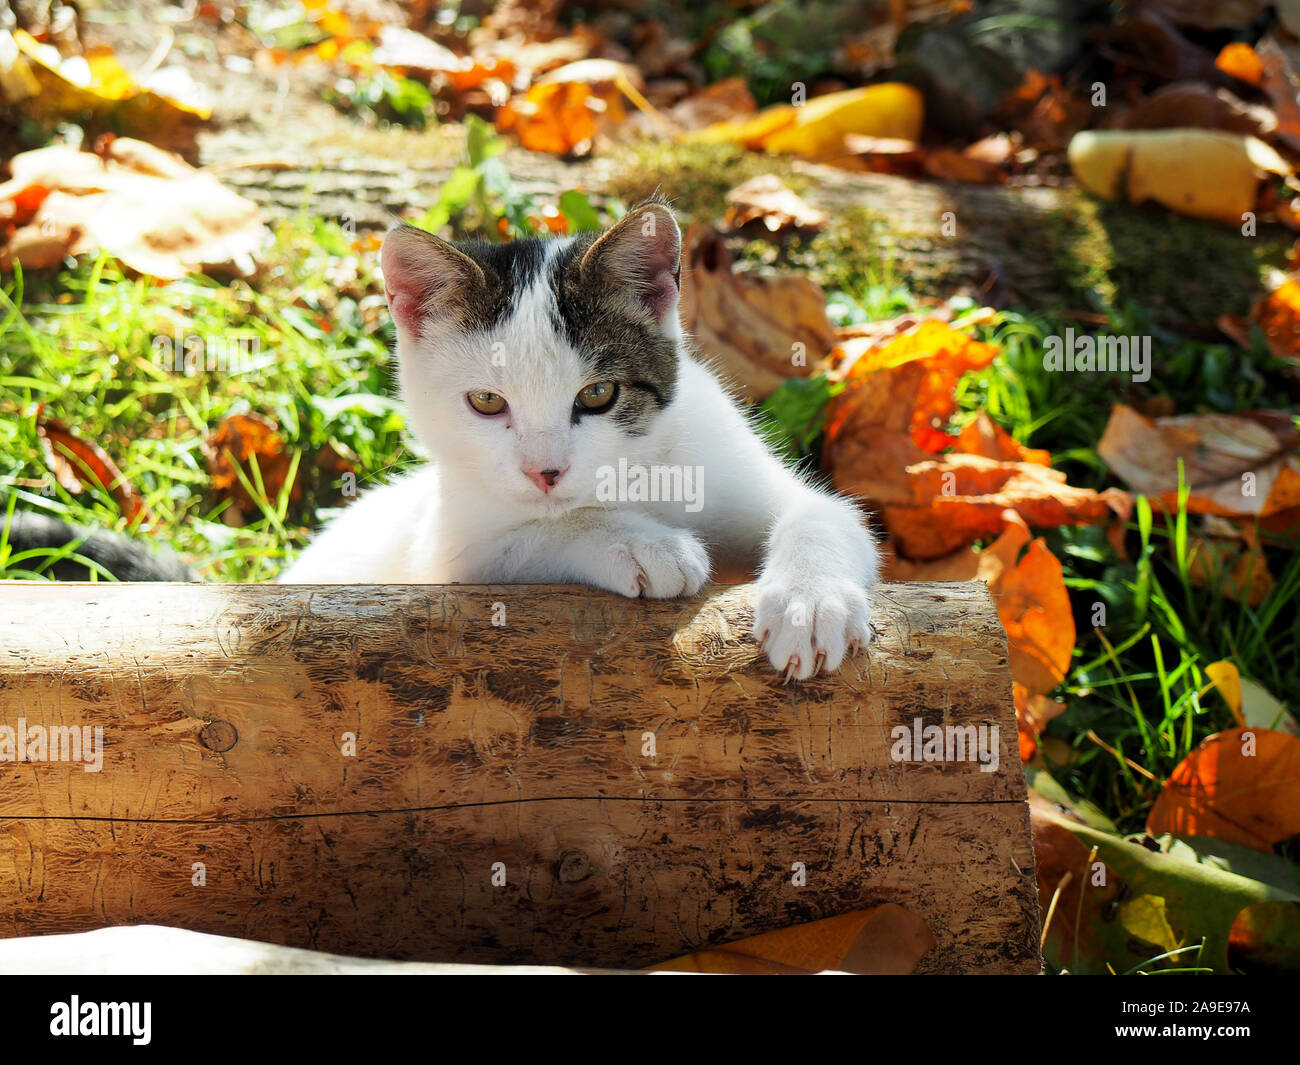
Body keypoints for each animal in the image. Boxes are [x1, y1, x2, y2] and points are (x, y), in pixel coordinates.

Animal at [279, 200, 878, 681]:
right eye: (487, 401)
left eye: (598, 394)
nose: (545, 472)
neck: (632, 475)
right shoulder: (447, 556)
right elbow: (535, 535)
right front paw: (641, 544)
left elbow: (824, 514)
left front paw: (809, 603)